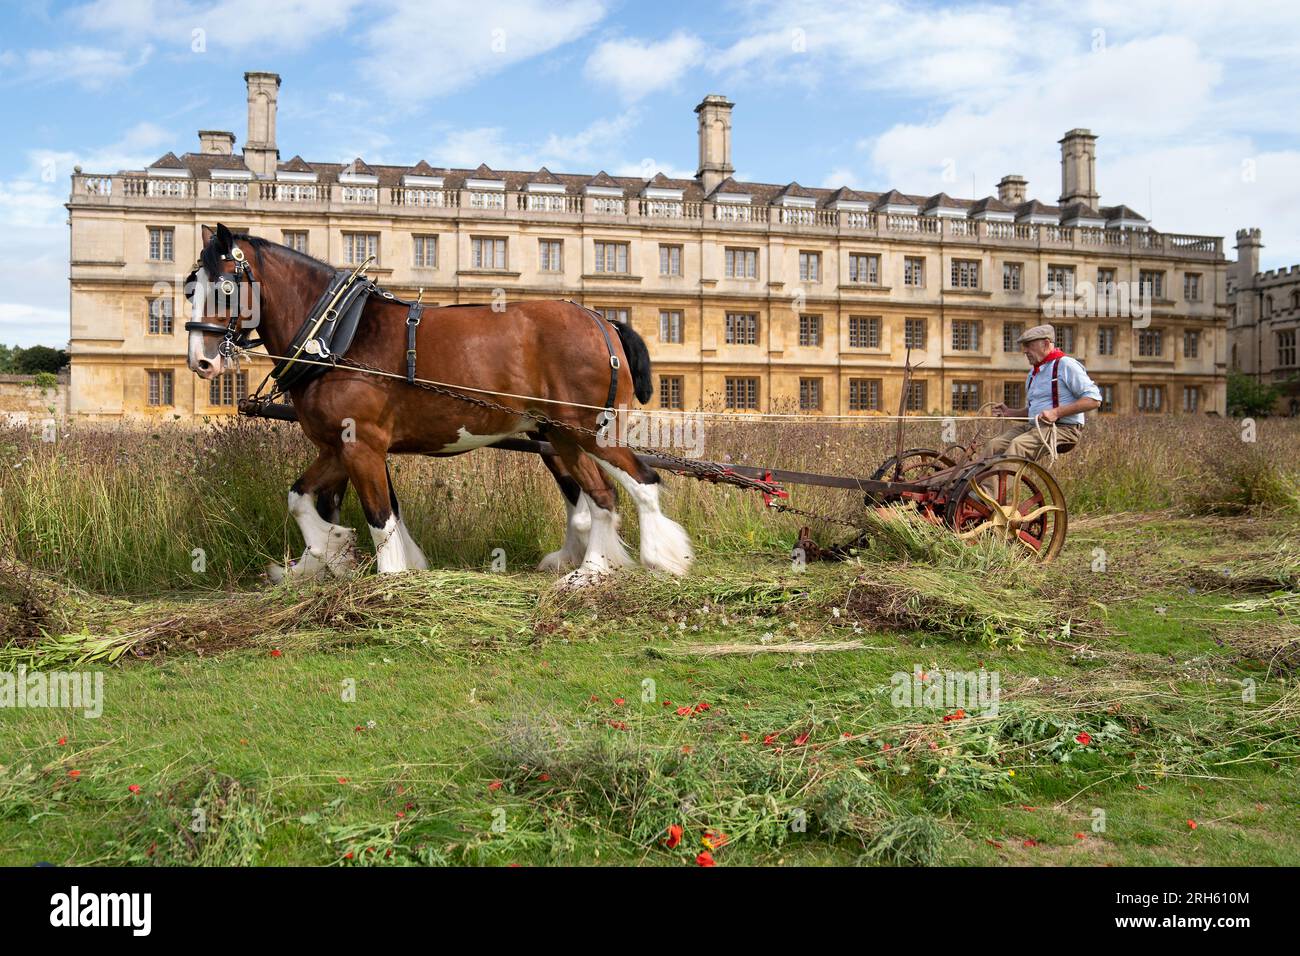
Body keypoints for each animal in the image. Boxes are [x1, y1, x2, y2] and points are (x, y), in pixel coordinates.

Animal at [185, 223, 691, 582]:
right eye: (191, 288)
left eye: (225, 288)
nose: (201, 361)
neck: (334, 333)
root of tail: (602, 321)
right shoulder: (337, 446)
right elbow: (301, 499)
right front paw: (330, 551)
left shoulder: (361, 445)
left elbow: (379, 517)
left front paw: (387, 576)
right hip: (561, 437)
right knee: (597, 495)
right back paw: (589, 567)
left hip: (586, 429)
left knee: (637, 484)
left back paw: (641, 560)